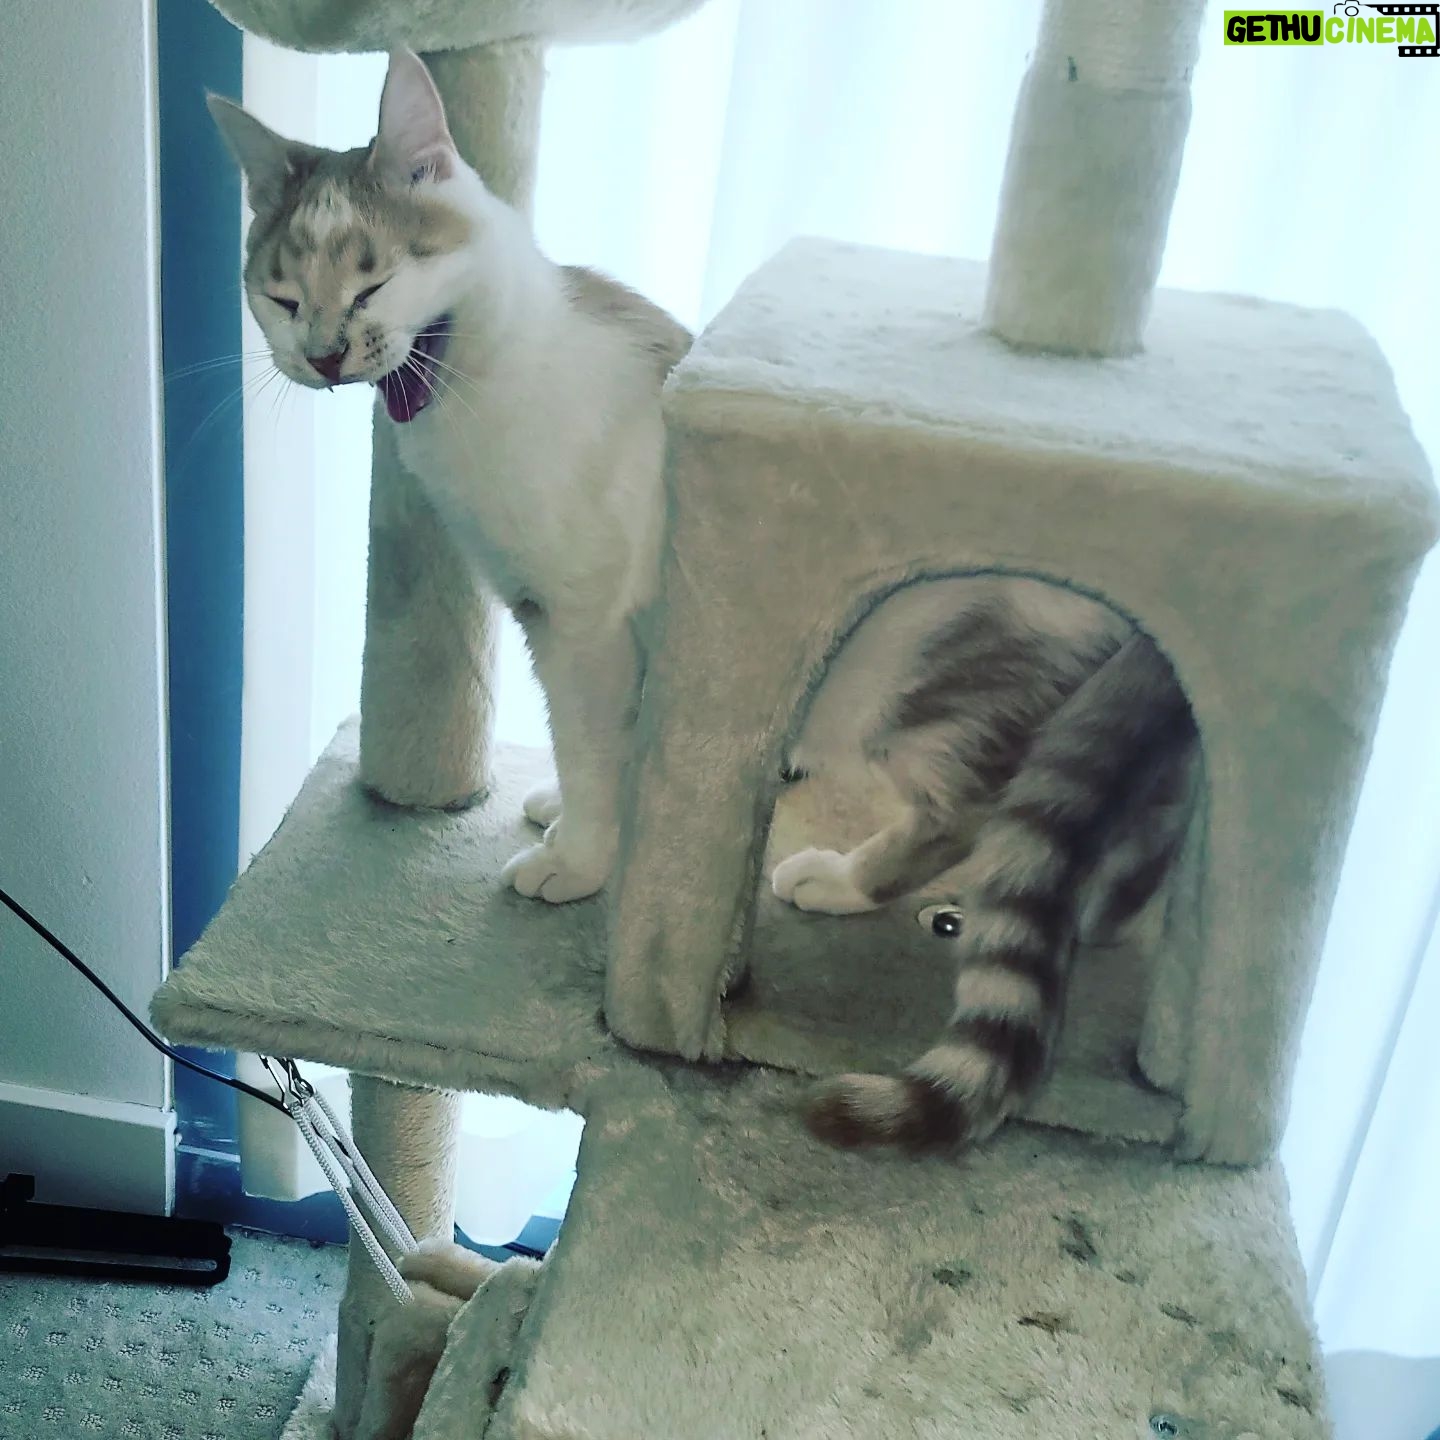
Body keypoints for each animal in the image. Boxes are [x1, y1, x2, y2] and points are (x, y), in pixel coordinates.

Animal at [210, 47, 689, 903]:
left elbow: (593, 746)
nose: (325, 355)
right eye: (283, 299)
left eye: (373, 285)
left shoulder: (584, 618)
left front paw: (582, 860)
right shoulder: (537, 610)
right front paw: (573, 821)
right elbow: (589, 741)